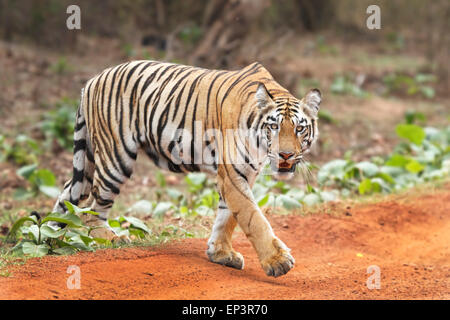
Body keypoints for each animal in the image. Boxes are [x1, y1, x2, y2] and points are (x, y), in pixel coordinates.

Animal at [52, 60, 320, 278]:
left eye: (300, 129)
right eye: (274, 127)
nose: (286, 154)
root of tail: (92, 80)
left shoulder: (240, 176)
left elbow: (227, 217)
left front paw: (220, 253)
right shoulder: (233, 175)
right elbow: (254, 219)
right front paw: (278, 262)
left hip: (88, 160)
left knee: (68, 193)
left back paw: (50, 234)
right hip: (116, 158)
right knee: (93, 209)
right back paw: (113, 238)